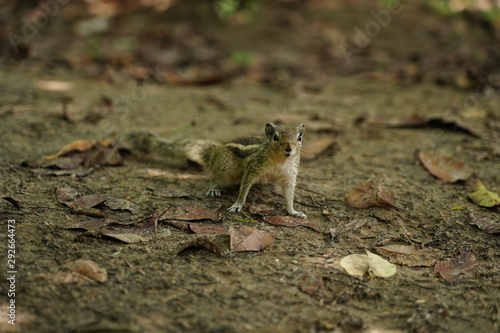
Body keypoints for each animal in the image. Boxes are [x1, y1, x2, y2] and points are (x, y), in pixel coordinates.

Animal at [122, 122, 304, 218]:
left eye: (299, 137)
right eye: (275, 137)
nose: (289, 148)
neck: (281, 161)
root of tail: (217, 153)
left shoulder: (290, 177)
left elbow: (289, 196)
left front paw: (294, 212)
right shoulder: (252, 169)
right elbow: (243, 189)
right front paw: (237, 205)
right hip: (225, 169)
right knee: (214, 177)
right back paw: (213, 189)